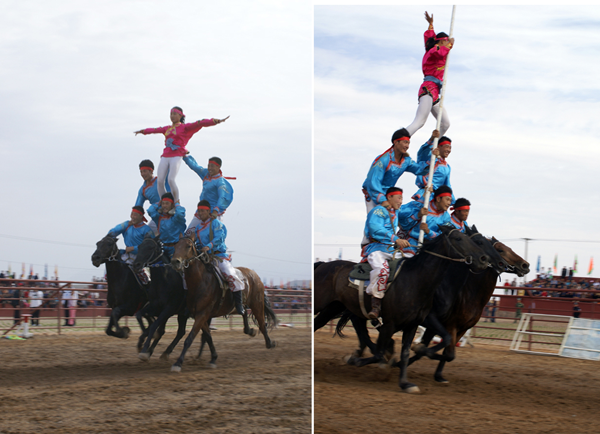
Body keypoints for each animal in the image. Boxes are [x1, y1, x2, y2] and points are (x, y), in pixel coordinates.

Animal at [169, 234, 277, 372]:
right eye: (175, 246)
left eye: (188, 246)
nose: (175, 261)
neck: (200, 281)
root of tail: (255, 275)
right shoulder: (200, 316)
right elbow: (208, 337)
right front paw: (213, 358)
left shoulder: (202, 314)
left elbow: (190, 338)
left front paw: (178, 363)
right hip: (243, 305)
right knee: (243, 313)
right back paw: (250, 330)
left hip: (257, 304)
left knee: (262, 323)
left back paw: (269, 343)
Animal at [314, 225, 490, 393]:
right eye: (459, 238)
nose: (483, 258)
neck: (415, 281)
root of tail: (323, 265)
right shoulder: (390, 324)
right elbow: (380, 353)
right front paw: (359, 360)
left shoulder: (414, 325)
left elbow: (407, 353)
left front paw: (405, 383)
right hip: (324, 304)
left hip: (334, 307)